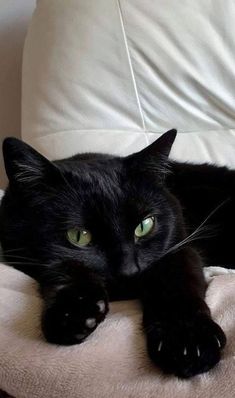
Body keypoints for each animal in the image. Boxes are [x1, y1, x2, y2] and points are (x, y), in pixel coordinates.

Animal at [0, 129, 231, 378]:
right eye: (78, 236)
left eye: (144, 225)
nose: (129, 271)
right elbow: (64, 266)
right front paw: (73, 312)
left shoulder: (180, 247)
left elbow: (175, 281)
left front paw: (187, 340)